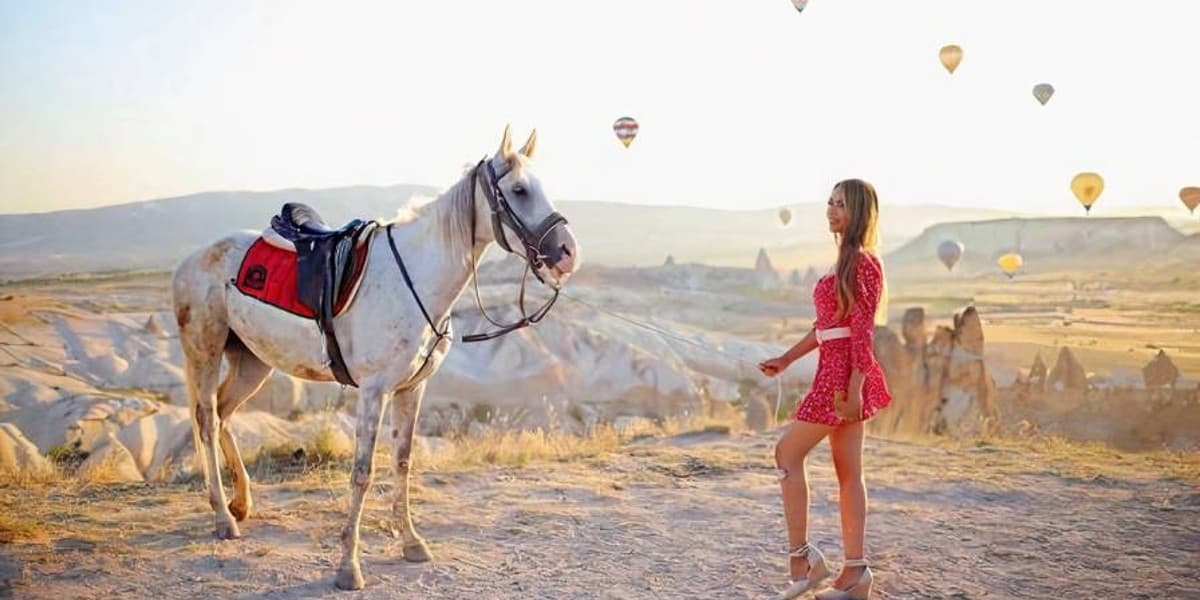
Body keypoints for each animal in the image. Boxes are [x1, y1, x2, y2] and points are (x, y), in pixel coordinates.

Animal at [170, 126, 580, 590]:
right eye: (519, 190)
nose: (567, 252)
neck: (416, 277)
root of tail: (190, 260)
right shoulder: (373, 391)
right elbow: (362, 472)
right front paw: (349, 565)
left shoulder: (412, 389)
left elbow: (402, 462)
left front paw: (411, 542)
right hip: (204, 351)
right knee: (206, 420)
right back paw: (223, 517)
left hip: (253, 361)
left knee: (223, 414)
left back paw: (241, 504)